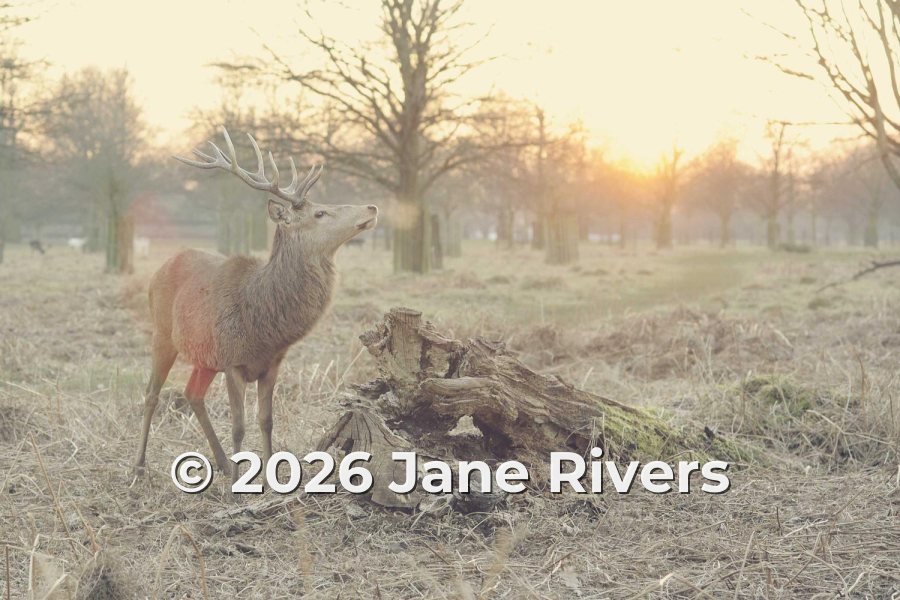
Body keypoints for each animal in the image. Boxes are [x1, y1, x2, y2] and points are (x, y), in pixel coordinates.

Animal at [133, 127, 378, 481]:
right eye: (319, 213)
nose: (372, 208)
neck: (261, 321)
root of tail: (161, 267)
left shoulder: (271, 363)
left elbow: (266, 420)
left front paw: (269, 479)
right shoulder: (232, 361)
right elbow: (238, 426)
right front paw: (238, 486)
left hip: (205, 357)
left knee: (193, 393)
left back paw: (221, 463)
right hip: (162, 333)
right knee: (152, 393)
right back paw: (139, 465)